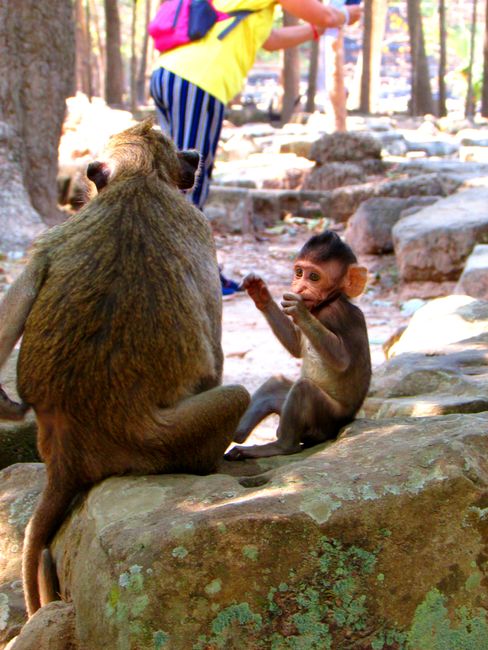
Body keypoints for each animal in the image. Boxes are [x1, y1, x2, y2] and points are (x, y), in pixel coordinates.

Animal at [0, 120, 250, 612]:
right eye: (178, 150)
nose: (194, 155)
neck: (137, 179)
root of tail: (69, 449)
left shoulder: (55, 235)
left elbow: (21, 290)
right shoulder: (200, 228)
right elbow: (212, 356)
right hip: (158, 446)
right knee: (235, 396)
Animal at [227, 230, 372, 458]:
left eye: (313, 277)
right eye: (298, 272)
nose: (299, 286)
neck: (324, 305)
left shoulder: (337, 314)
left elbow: (342, 361)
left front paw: (299, 311)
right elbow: (295, 345)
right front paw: (260, 293)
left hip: (327, 423)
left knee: (304, 389)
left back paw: (279, 446)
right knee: (277, 383)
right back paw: (234, 432)